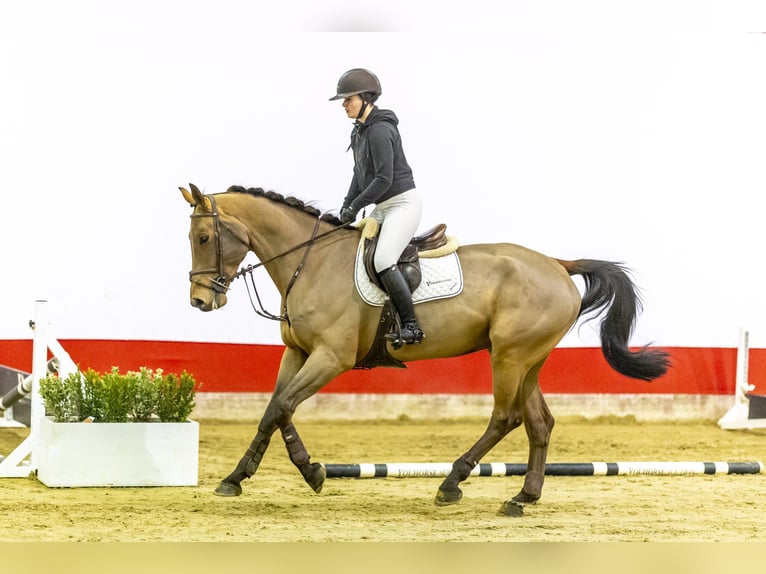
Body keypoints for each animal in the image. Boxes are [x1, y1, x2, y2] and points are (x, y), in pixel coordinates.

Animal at [180, 182, 672, 516]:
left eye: (203, 239)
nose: (200, 301)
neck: (311, 261)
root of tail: (556, 263)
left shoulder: (330, 358)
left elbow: (282, 407)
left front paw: (307, 472)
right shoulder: (298, 354)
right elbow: (273, 411)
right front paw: (242, 477)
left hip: (508, 357)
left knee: (506, 417)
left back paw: (452, 484)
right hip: (526, 360)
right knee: (539, 423)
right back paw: (522, 497)